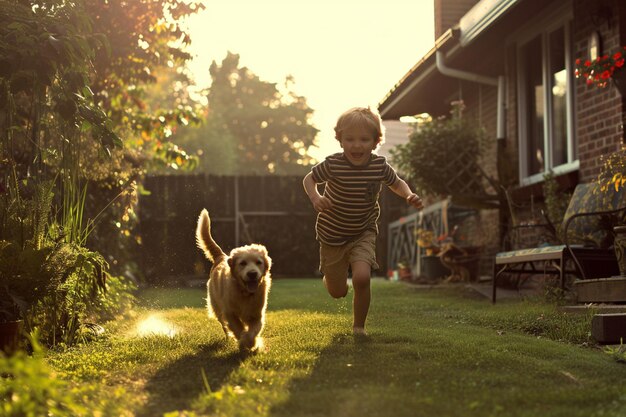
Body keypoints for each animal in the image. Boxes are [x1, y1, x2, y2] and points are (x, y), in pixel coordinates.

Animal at [195, 210, 270, 350]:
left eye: (259, 262)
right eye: (242, 263)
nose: (252, 274)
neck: (245, 293)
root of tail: (221, 256)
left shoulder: (257, 314)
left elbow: (253, 330)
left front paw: (251, 343)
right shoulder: (230, 313)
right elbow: (237, 328)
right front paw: (243, 341)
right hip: (217, 307)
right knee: (224, 324)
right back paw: (229, 337)